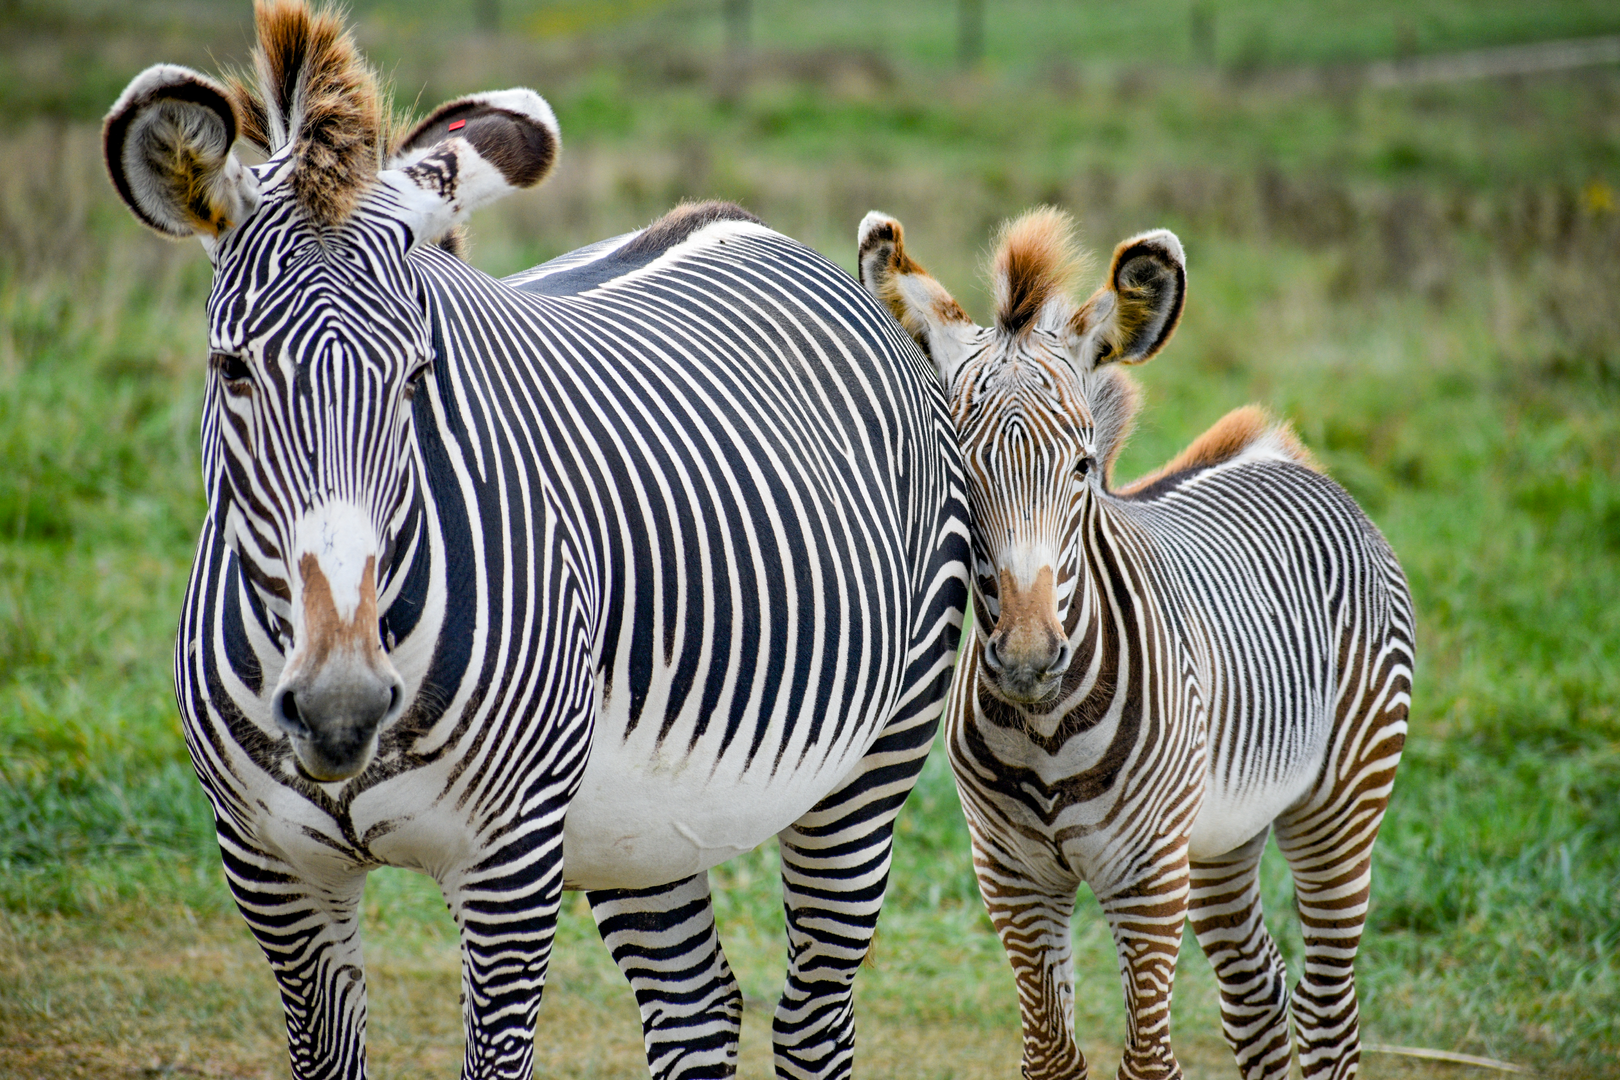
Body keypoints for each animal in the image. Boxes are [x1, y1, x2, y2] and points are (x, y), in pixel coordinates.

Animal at [100, 4, 970, 1078]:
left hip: (874, 760)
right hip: (640, 823)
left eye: (419, 374)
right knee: (697, 1007)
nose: (342, 709)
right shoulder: (270, 869)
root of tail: (746, 223)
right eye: (232, 370)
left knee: (815, 1014)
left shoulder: (507, 867)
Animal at [856, 207, 1413, 1080]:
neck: (1046, 733)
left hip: (1342, 801)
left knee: (1327, 1012)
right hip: (1224, 832)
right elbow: (1052, 1056)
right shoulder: (1012, 877)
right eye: (959, 469)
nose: (1026, 659)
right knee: (1258, 992)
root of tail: (1282, 456)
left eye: (1082, 466)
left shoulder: (1148, 879)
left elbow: (1147, 1061)